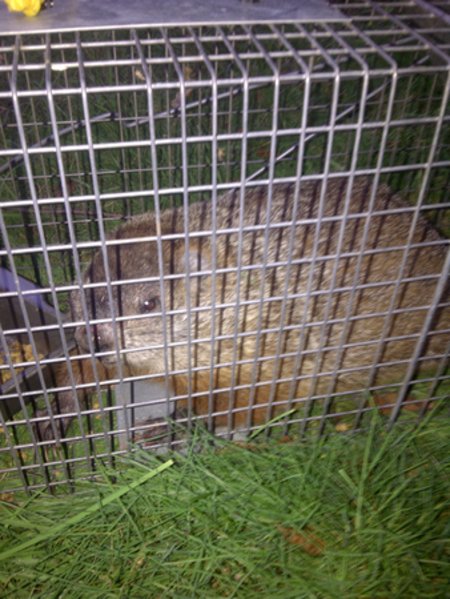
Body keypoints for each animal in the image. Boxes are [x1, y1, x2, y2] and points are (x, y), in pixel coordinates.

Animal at [36, 177, 449, 440]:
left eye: (149, 303)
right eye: (81, 291)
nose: (95, 341)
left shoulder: (266, 357)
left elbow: (238, 403)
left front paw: (167, 427)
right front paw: (53, 415)